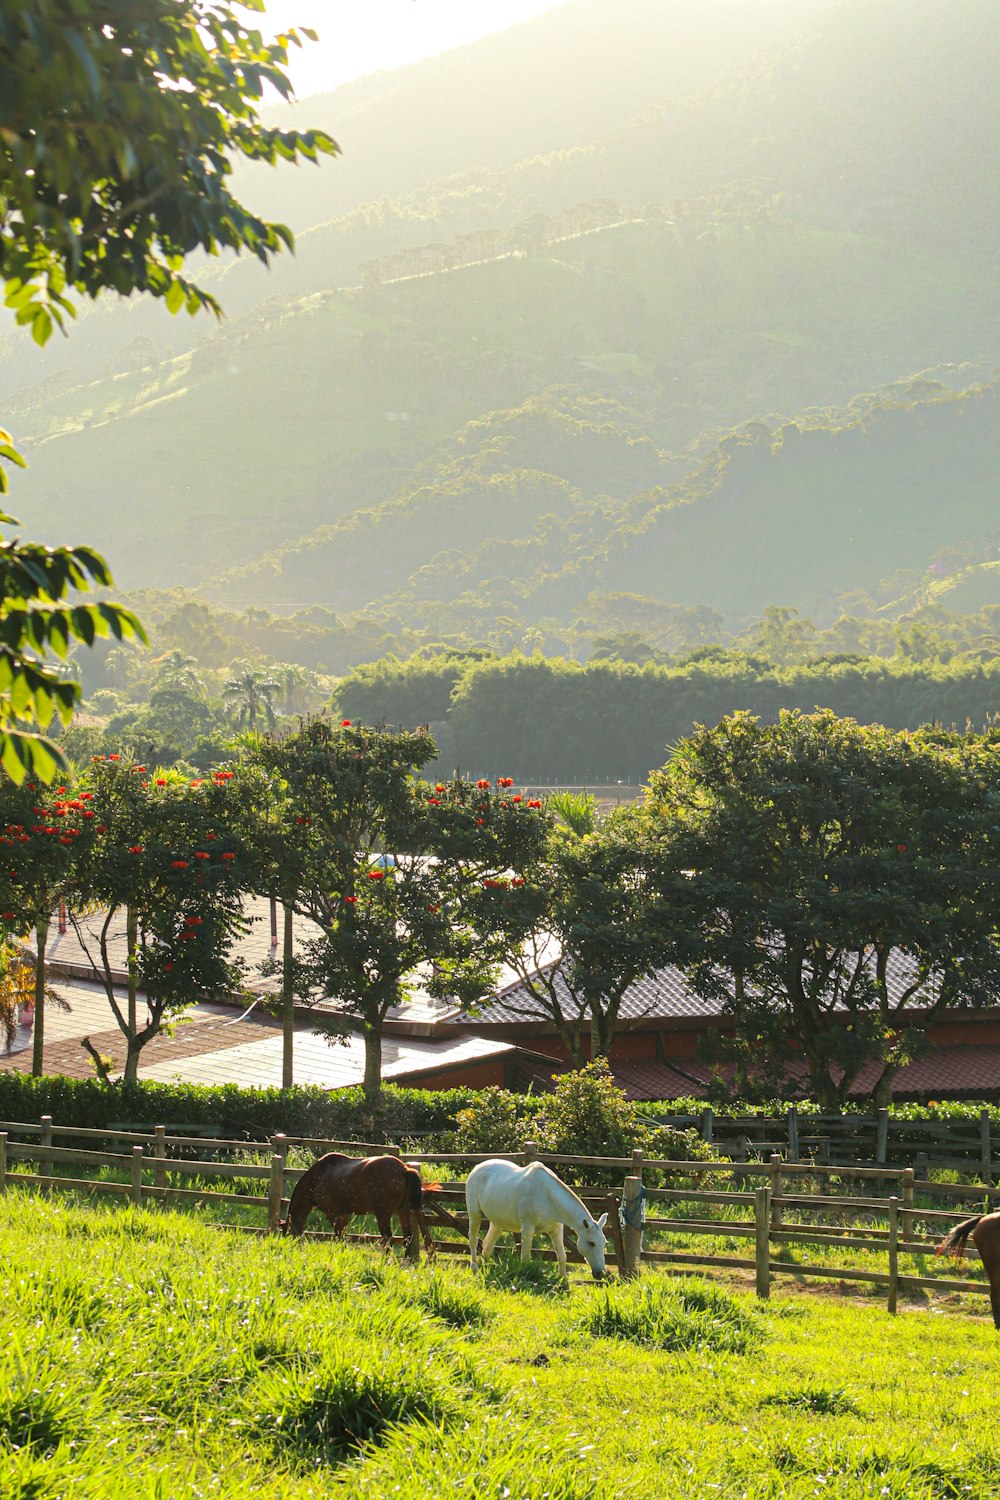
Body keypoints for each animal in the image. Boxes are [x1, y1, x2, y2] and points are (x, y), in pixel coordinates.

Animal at [283, 1152, 446, 1260]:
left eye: (287, 1234)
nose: (291, 1250)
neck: (317, 1177)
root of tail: (405, 1170)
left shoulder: (332, 1213)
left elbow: (339, 1235)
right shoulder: (342, 1214)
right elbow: (343, 1235)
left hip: (383, 1214)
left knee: (388, 1237)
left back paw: (386, 1260)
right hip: (405, 1210)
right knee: (410, 1235)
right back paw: (409, 1260)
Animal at [464, 1158, 611, 1278]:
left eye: (604, 1243)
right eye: (591, 1243)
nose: (600, 1274)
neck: (548, 1196)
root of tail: (477, 1168)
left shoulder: (556, 1230)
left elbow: (562, 1256)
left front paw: (562, 1280)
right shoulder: (527, 1228)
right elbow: (525, 1258)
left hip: (497, 1223)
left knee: (487, 1245)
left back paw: (487, 1269)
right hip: (475, 1215)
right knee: (473, 1240)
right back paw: (475, 1268)